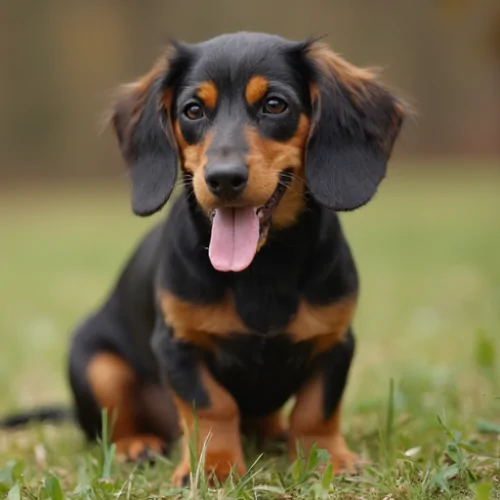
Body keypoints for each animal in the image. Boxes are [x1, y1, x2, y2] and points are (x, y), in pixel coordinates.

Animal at [4, 32, 406, 488]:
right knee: (113, 426)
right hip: (96, 363)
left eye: (275, 105)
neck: (261, 268)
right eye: (193, 110)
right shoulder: (178, 344)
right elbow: (213, 407)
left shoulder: (335, 340)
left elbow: (316, 410)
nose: (224, 179)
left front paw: (327, 459)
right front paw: (214, 468)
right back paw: (135, 444)